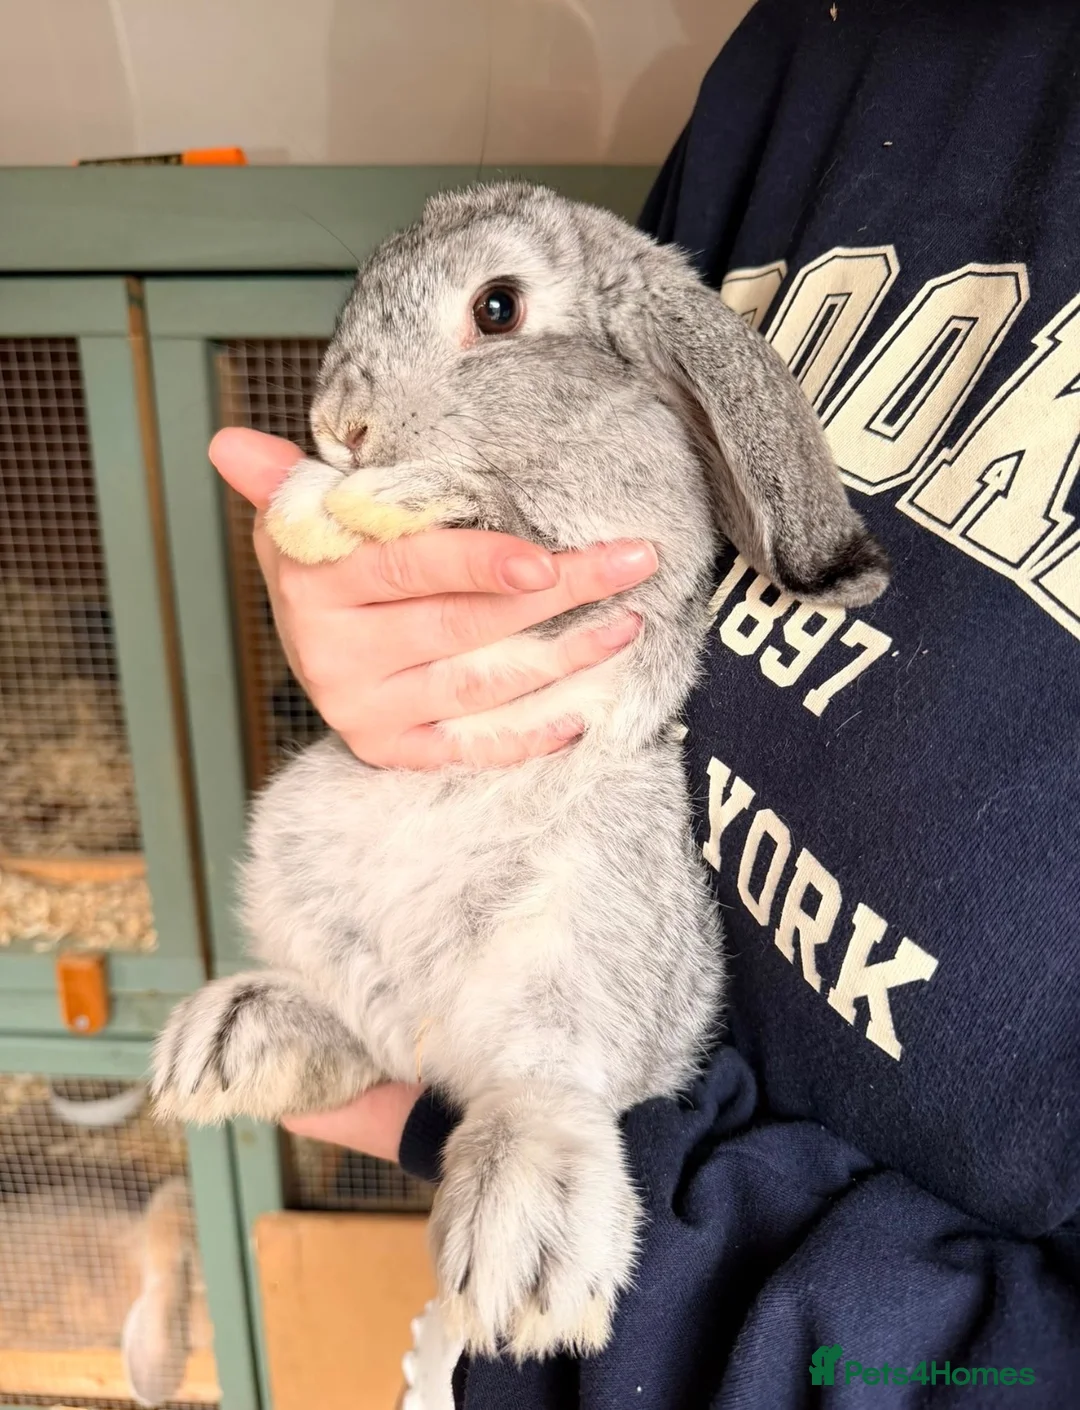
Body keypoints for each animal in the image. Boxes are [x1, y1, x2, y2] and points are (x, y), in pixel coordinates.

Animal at [152, 182, 889, 1360]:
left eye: (497, 307)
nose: (342, 425)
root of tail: (433, 1021)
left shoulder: (600, 553)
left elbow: (490, 506)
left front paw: (338, 504)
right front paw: (318, 497)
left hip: (583, 927)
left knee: (539, 1085)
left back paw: (523, 1243)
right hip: (305, 851)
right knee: (369, 1031)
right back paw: (229, 1041)